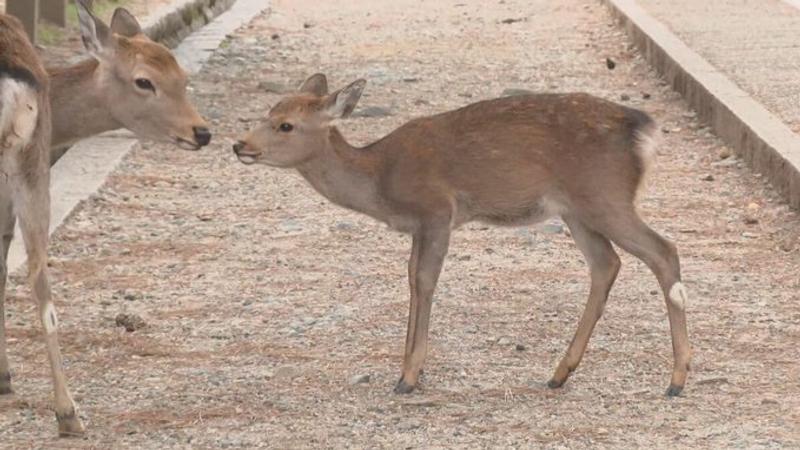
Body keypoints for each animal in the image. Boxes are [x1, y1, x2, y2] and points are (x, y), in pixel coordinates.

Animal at [0, 1, 210, 437]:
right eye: (144, 81)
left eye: (182, 78)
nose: (202, 132)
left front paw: (4, 378)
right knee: (39, 274)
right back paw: (68, 414)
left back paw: (66, 413)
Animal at [233, 74, 692, 397]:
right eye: (266, 113)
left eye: (286, 125)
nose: (240, 145)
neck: (379, 180)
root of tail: (643, 130)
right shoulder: (419, 226)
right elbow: (411, 280)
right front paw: (407, 368)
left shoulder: (437, 211)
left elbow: (424, 281)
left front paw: (409, 376)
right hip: (575, 209)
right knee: (606, 263)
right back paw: (559, 373)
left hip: (604, 195)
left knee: (663, 250)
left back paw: (677, 378)